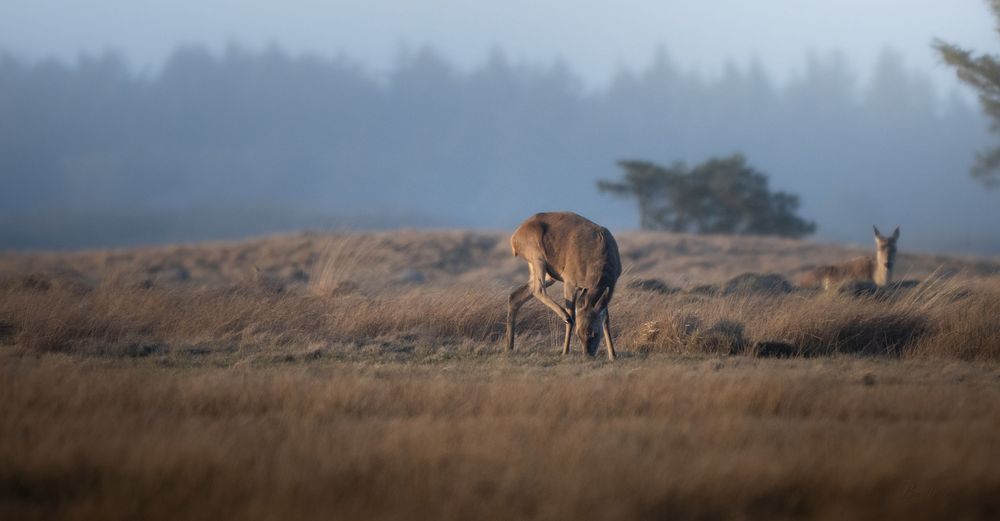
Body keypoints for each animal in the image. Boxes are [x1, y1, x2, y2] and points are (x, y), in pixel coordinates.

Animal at [504, 212, 622, 361]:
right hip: (538, 260)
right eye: (579, 334)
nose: (587, 356)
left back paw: (509, 347)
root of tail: (515, 236)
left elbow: (605, 319)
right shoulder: (570, 283)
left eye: (594, 332)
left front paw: (613, 355)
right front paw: (565, 351)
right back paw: (564, 316)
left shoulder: (605, 290)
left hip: (548, 275)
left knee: (515, 296)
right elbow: (572, 312)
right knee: (538, 290)